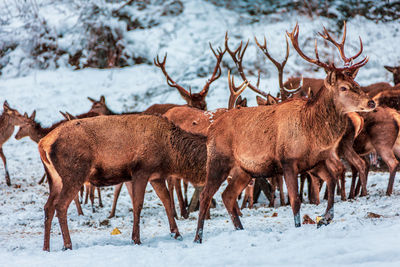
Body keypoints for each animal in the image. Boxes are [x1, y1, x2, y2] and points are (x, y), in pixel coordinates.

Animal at [193, 22, 376, 245]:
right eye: (344, 87)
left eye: (357, 84)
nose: (371, 102)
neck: (312, 132)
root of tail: (211, 129)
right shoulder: (288, 160)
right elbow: (295, 199)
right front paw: (299, 226)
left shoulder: (315, 162)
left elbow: (331, 181)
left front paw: (325, 218)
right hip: (218, 160)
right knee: (206, 195)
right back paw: (198, 238)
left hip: (244, 170)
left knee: (227, 196)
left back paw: (240, 229)